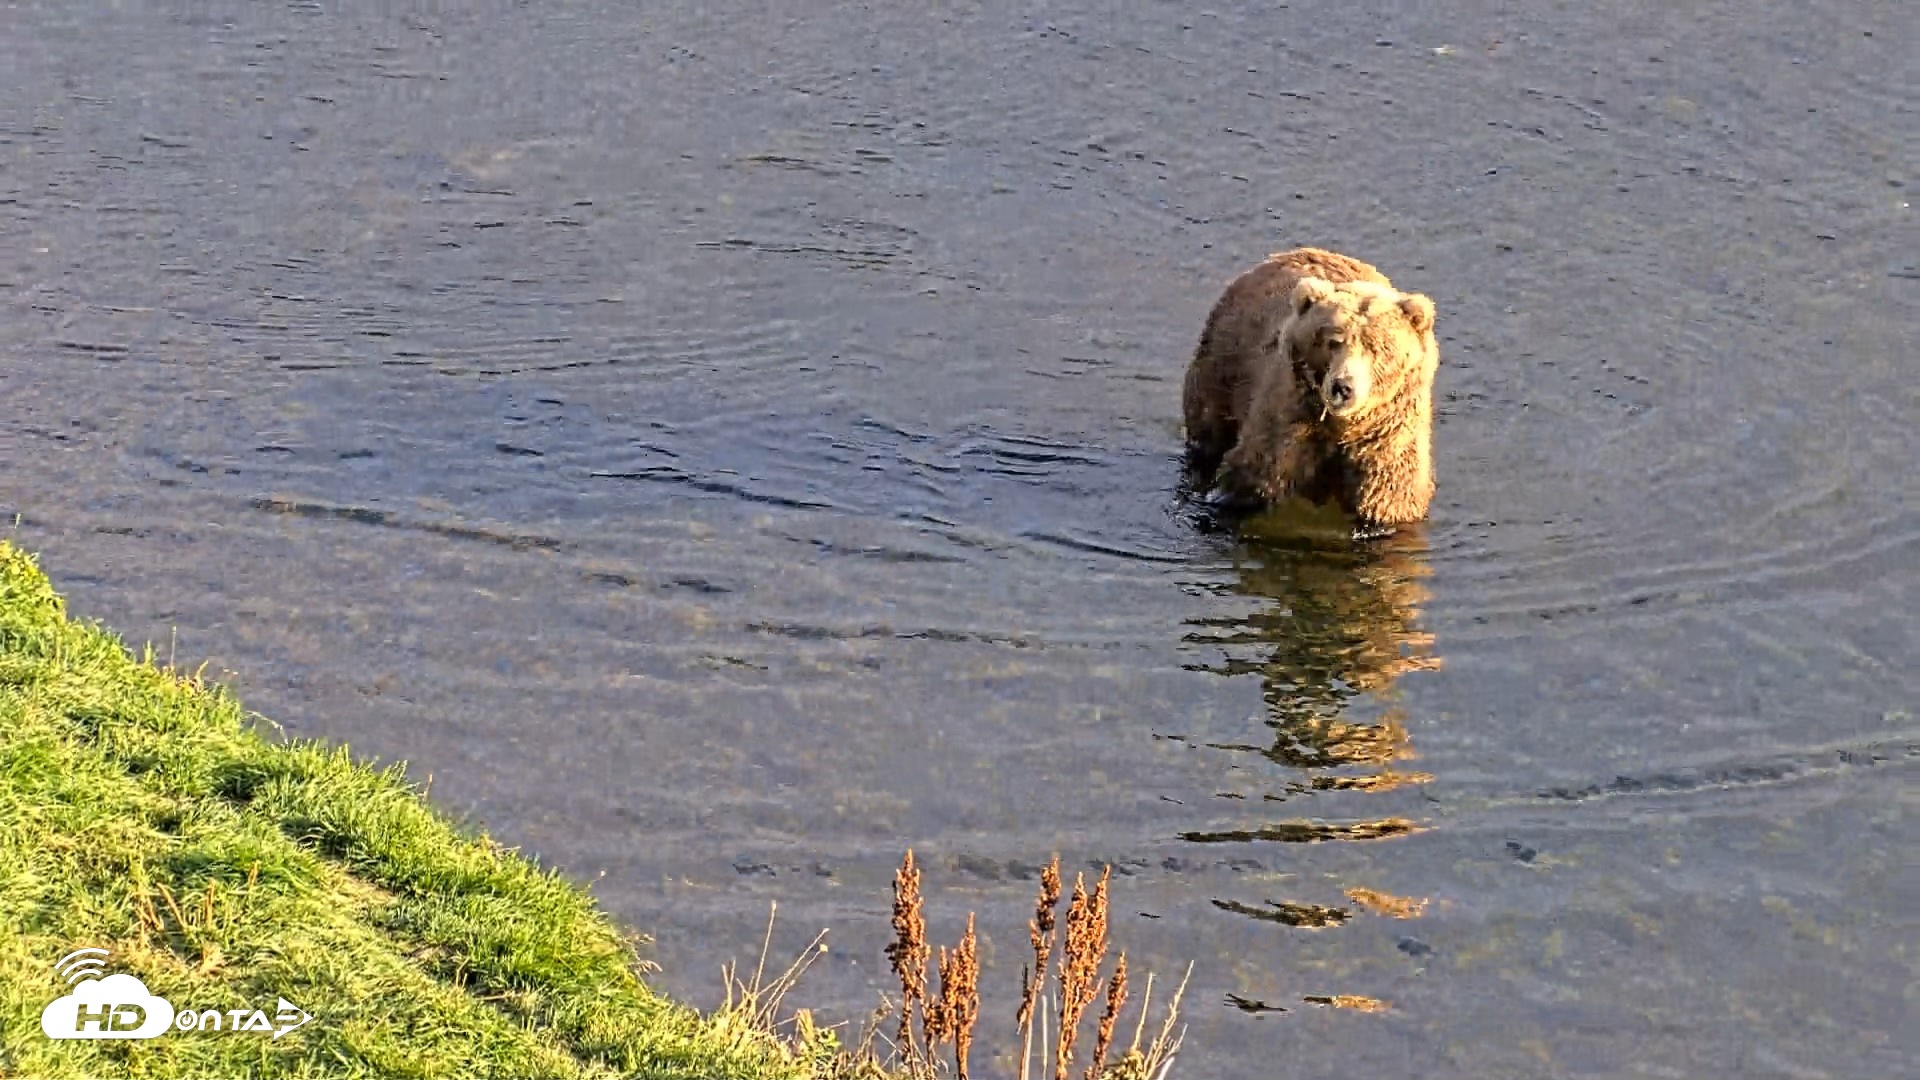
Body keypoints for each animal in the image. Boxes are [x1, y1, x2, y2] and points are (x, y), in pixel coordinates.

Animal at [1181, 247, 1439, 532]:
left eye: (1377, 347)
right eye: (1332, 341)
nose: (1343, 387)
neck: (1343, 428)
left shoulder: (1389, 435)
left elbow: (1389, 498)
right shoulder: (1290, 417)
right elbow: (1255, 473)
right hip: (1223, 364)